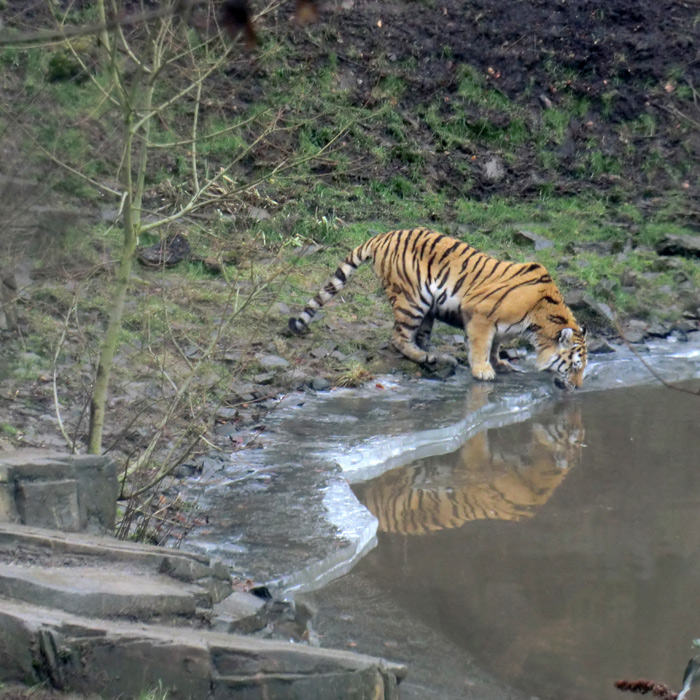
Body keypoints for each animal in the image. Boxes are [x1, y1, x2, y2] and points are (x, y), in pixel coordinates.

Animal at [288, 227, 588, 388]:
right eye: (574, 366)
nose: (576, 388)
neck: (539, 322)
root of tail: (384, 235)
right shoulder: (481, 315)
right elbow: (481, 346)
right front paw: (483, 371)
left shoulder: (499, 327)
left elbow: (494, 346)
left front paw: (500, 364)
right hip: (412, 300)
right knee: (399, 338)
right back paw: (427, 358)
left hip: (428, 307)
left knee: (420, 336)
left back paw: (438, 356)